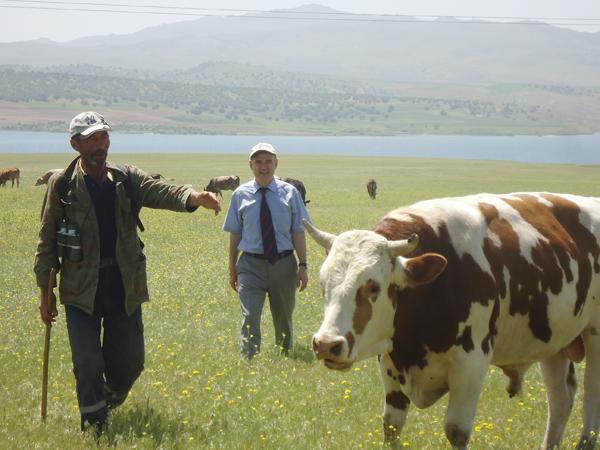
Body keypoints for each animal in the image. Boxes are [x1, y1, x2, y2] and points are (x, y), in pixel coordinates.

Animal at [308, 192, 600, 450]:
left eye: (373, 287)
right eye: (322, 284)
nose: (326, 344)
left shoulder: (471, 364)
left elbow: (456, 430)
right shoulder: (390, 363)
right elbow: (391, 425)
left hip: (595, 333)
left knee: (591, 391)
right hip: (554, 339)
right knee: (560, 398)